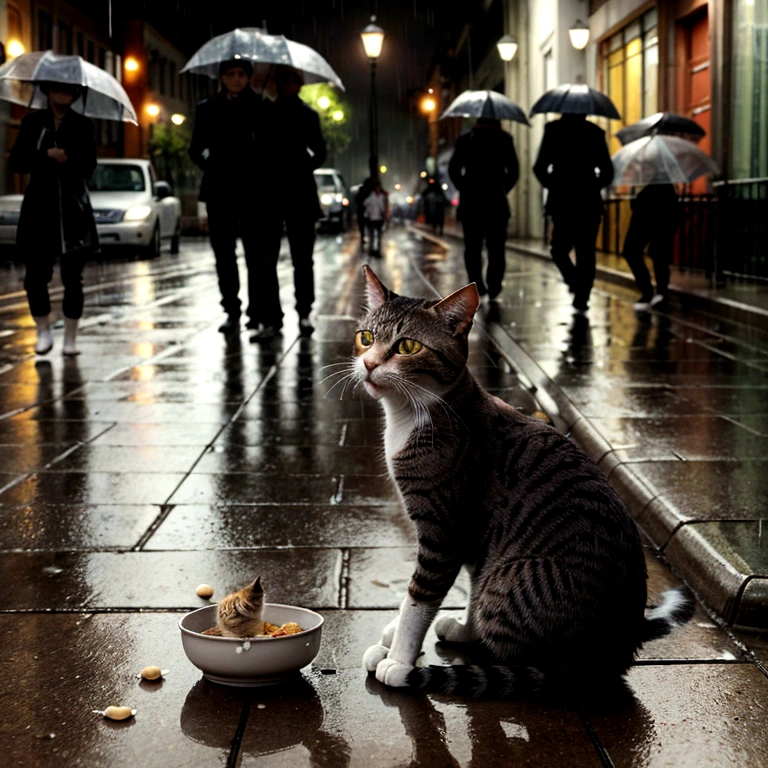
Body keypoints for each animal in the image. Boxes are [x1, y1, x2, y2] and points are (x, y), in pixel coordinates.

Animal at [354, 268, 696, 700]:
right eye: (366, 338)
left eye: (407, 346)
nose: (367, 364)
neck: (411, 414)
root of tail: (617, 650)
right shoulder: (477, 535)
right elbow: (468, 581)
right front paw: (428, 633)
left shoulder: (444, 530)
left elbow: (418, 599)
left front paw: (399, 657)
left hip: (512, 580)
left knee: (531, 657)